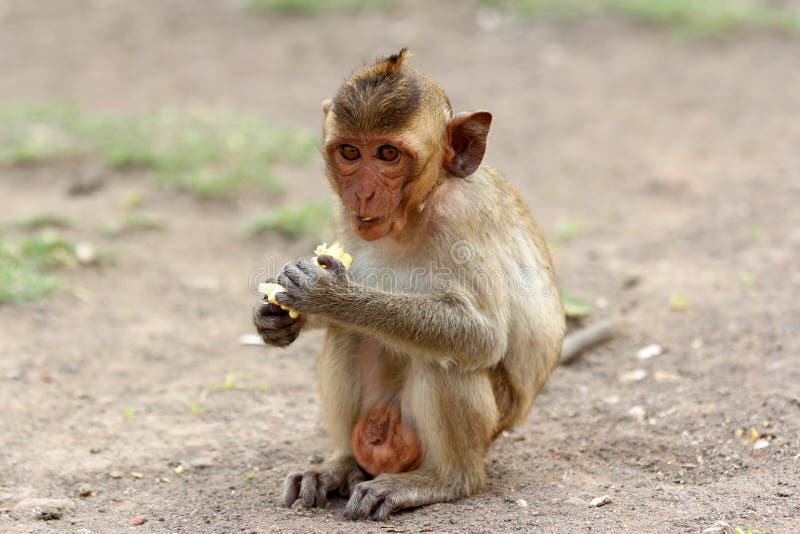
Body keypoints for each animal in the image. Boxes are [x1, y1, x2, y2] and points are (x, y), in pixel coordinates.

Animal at [253, 49, 576, 520]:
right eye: (350, 152)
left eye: (388, 154)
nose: (363, 194)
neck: (417, 210)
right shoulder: (342, 214)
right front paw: (274, 319)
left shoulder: (463, 216)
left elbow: (482, 335)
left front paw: (331, 296)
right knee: (349, 337)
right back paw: (340, 466)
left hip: (483, 426)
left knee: (448, 360)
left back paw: (445, 480)